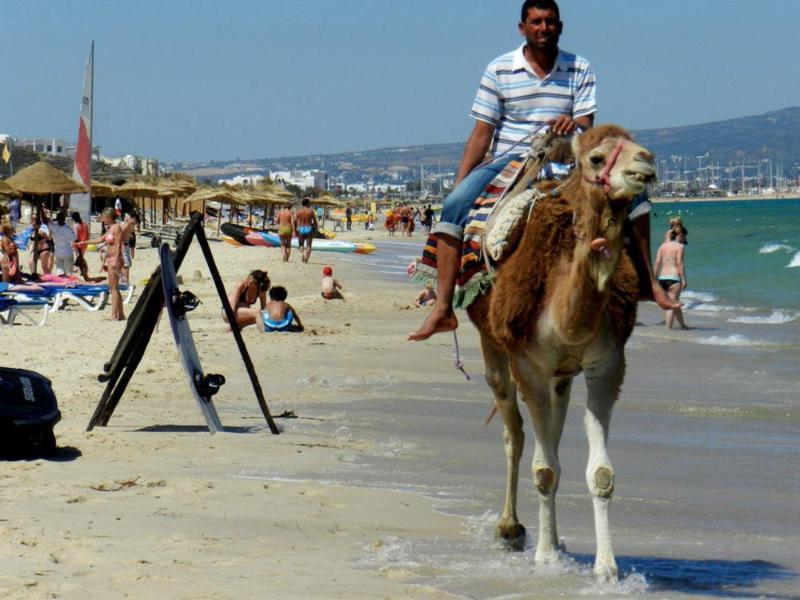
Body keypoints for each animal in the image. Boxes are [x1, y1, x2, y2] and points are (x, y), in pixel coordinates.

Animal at [466, 125, 652, 580]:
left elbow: (599, 473)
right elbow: (545, 468)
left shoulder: (606, 363)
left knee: (550, 430)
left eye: (639, 145)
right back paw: (511, 529)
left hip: (562, 376)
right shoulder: (529, 363)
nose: (645, 164)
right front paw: (546, 556)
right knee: (514, 430)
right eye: (597, 158)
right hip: (494, 345)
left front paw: (607, 569)